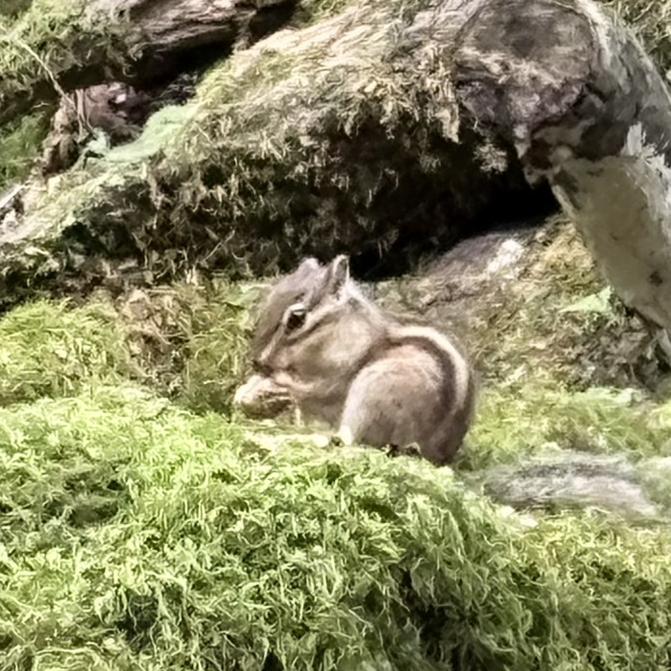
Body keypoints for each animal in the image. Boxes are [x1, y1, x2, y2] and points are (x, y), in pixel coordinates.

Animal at [233, 255, 477, 465]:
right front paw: (246, 391)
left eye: (296, 319)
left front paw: (272, 388)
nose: (257, 362)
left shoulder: (336, 375)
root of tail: (437, 454)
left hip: (374, 392)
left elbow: (308, 390)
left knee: (348, 442)